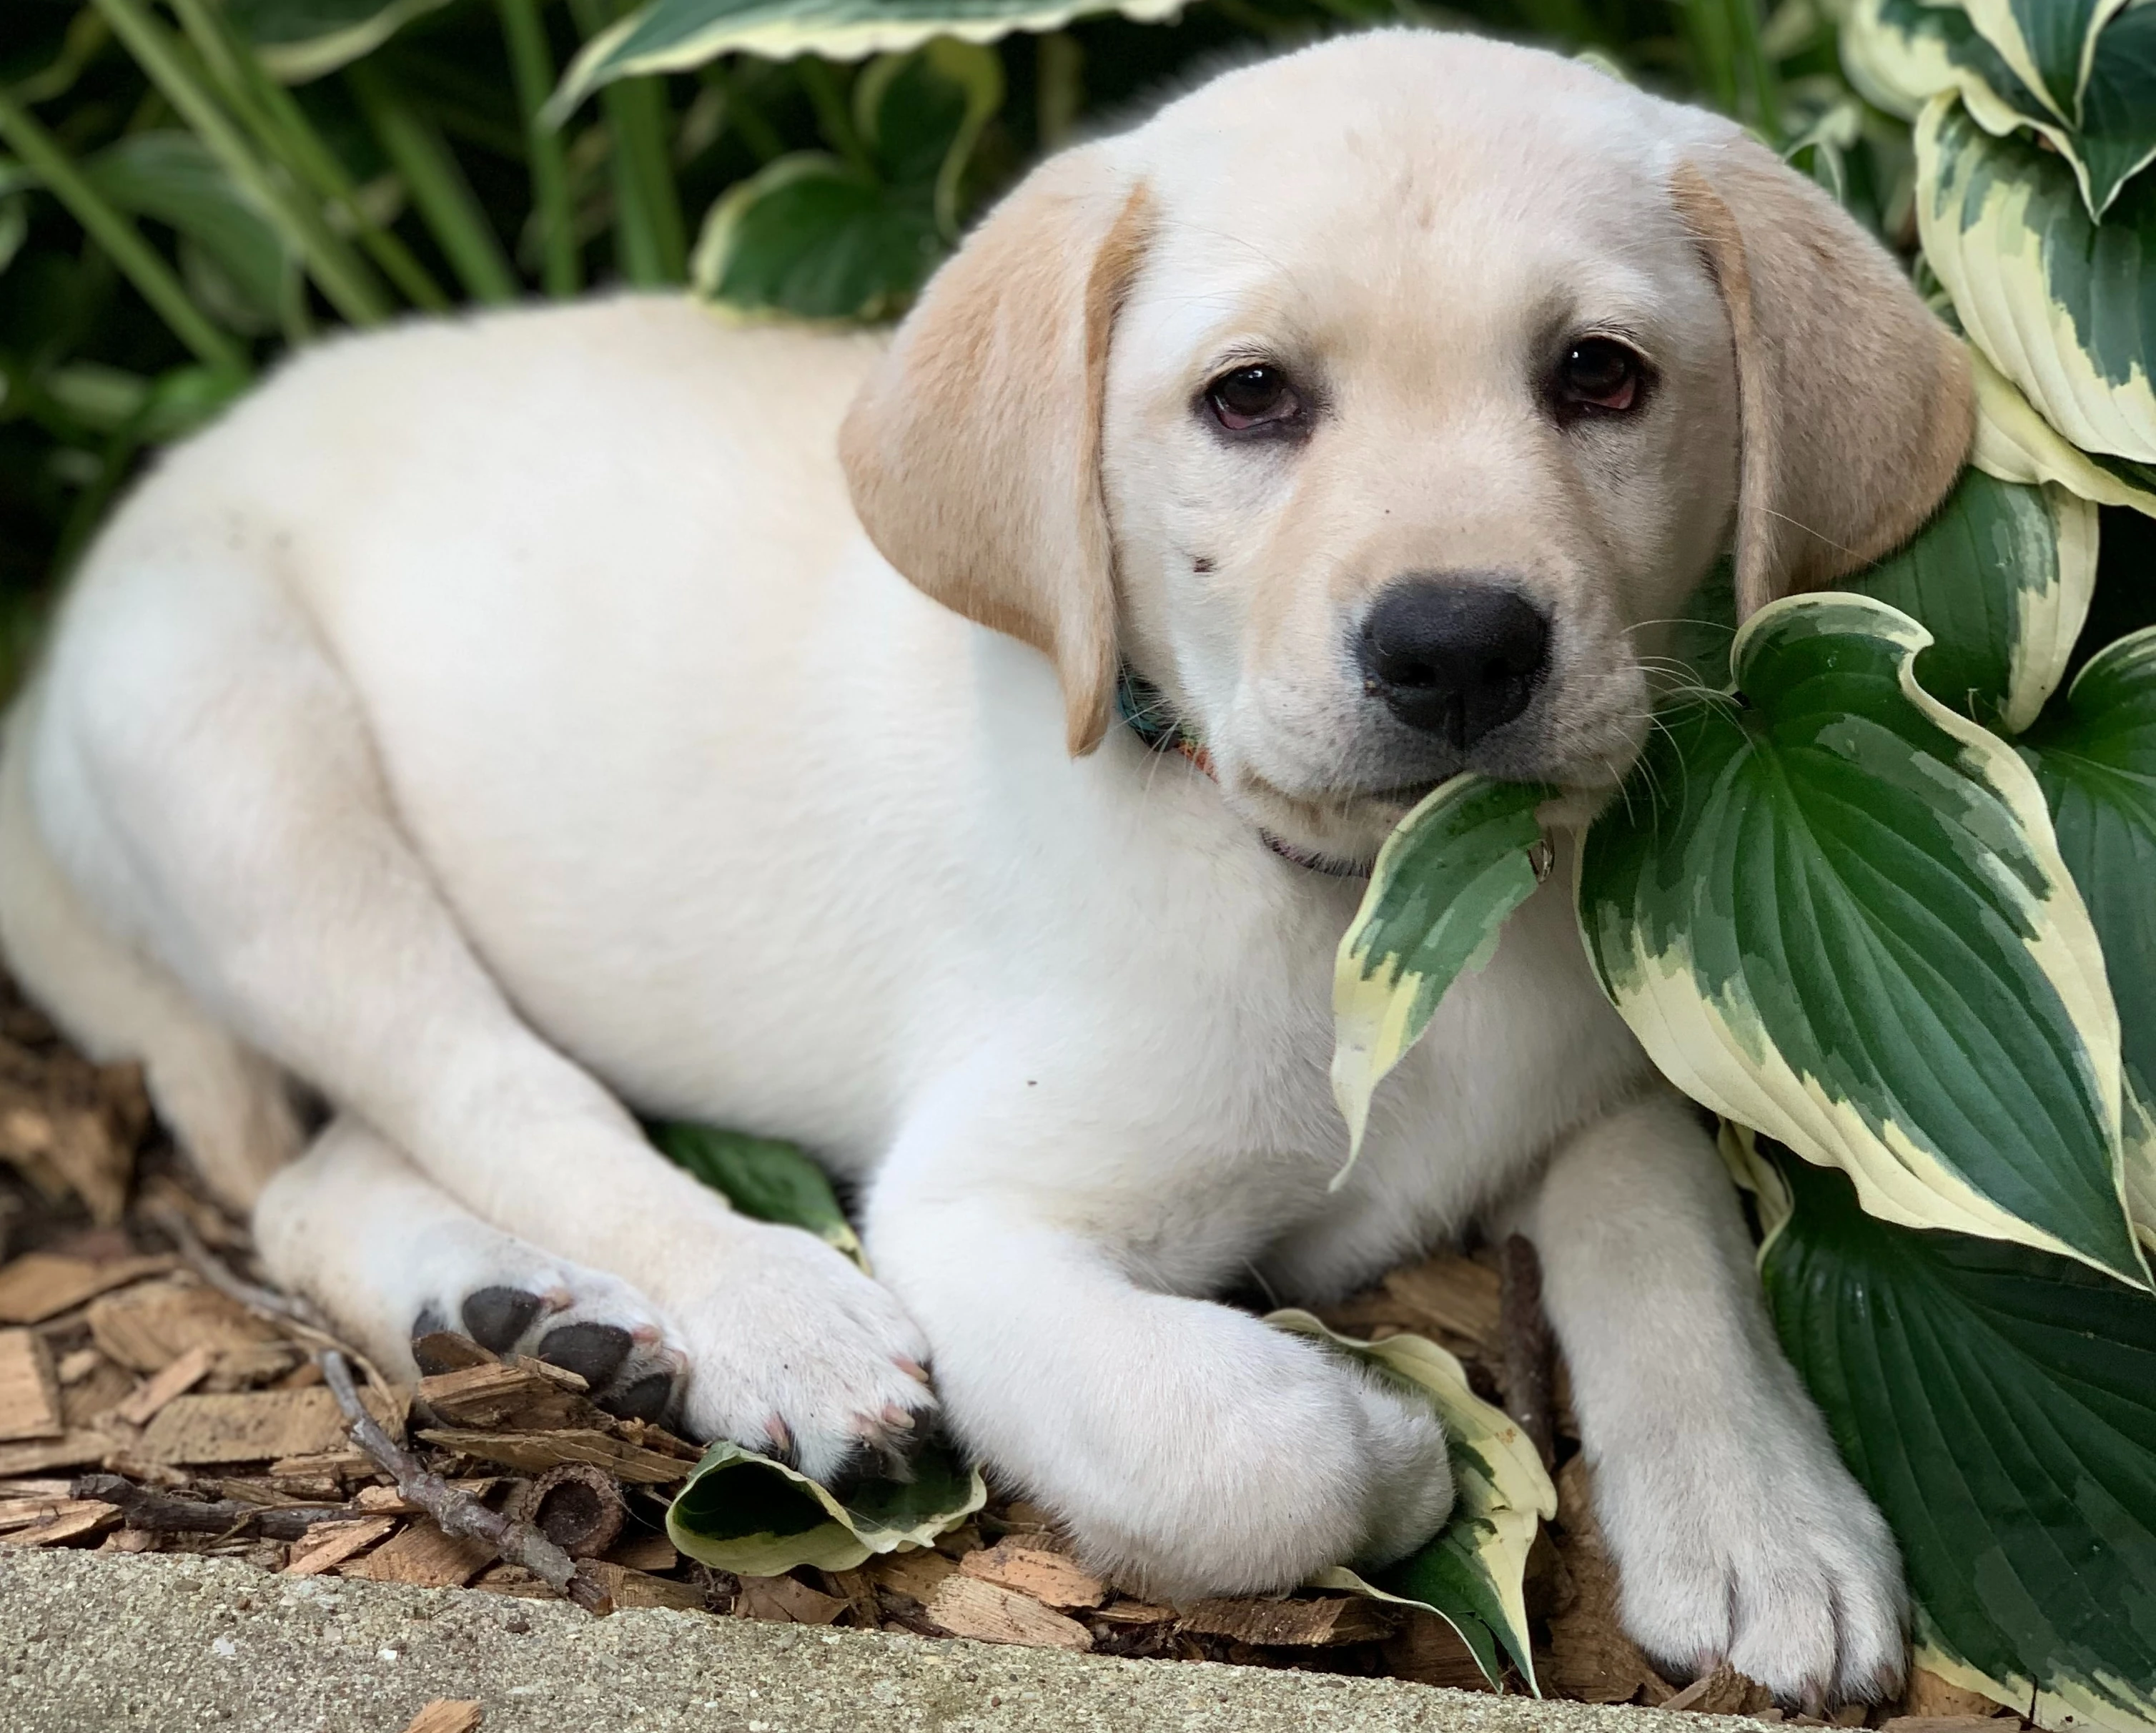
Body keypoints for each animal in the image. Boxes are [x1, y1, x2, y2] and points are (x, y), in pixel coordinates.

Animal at [0, 26, 1974, 1707]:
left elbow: (1677, 1245)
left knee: (325, 1165)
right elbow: (1247, 1451)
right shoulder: (978, 1225)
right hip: (236, 746)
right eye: (1248, 400)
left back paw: (513, 1312)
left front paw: (1763, 1520)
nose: (1456, 650)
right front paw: (1390, 1434)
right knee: (469, 1089)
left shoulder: (1608, 1075)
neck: (1357, 909)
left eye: (1598, 377)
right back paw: (756, 1321)